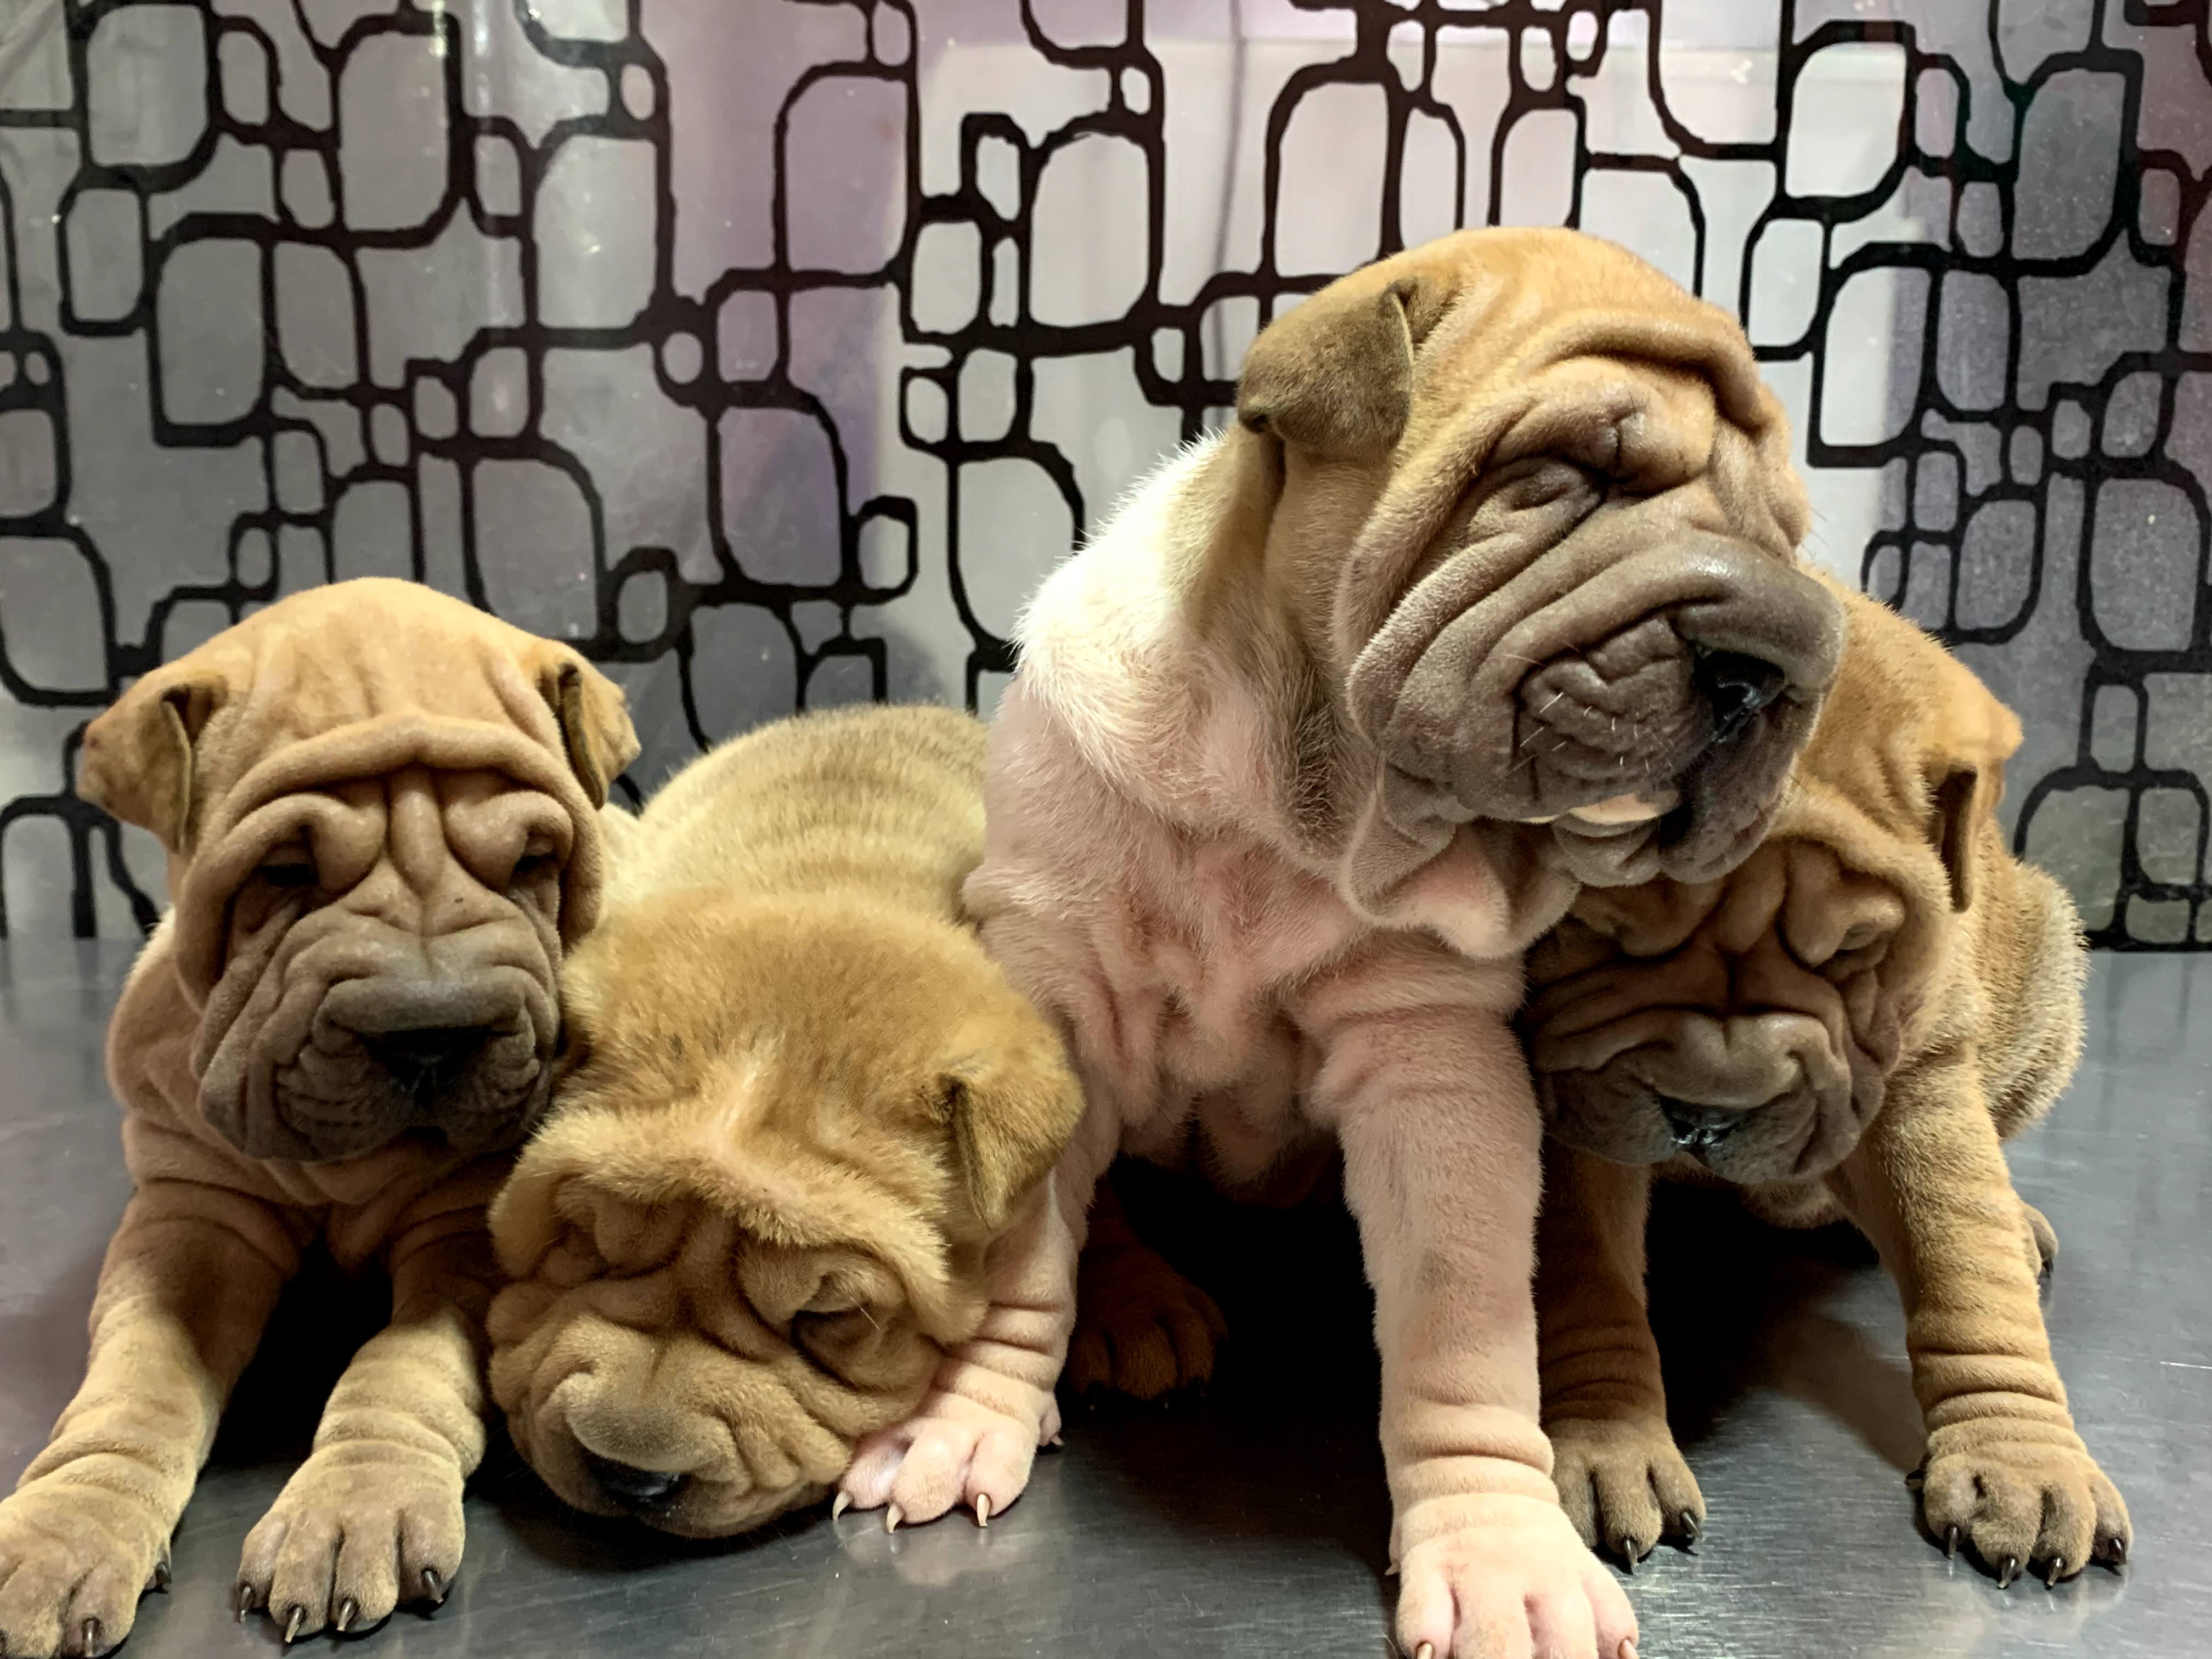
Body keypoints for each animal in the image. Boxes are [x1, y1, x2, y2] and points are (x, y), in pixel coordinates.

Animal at [2, 579, 641, 1659]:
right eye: (284, 871)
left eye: (532, 859)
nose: (430, 1037)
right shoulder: (191, 1213)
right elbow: (139, 1373)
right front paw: (62, 1529)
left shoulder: (466, 1225)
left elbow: (402, 1360)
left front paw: (354, 1510)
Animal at [484, 703, 1079, 1548]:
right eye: (585, 1245)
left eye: (827, 1317)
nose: (631, 1478)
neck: (825, 878)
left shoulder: (1025, 1201)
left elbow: (1023, 1310)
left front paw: (956, 1433)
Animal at [836, 224, 1840, 1659]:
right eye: (1565, 475)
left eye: (1788, 535)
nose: (1777, 657)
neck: (1293, 811)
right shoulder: (1056, 1008)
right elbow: (1019, 1254)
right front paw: (963, 1417)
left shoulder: (1434, 1064)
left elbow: (1464, 1331)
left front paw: (1499, 1554)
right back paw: (1140, 1307)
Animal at [1522, 579, 2123, 1593]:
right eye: (1598, 929)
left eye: (1853, 951)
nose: (1706, 1113)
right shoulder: (1567, 1089)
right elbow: (1585, 1271)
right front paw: (1607, 1437)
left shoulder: (1922, 1076)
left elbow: (1966, 1267)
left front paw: (2022, 1461)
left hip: (2043, 969)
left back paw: (2016, 1219)